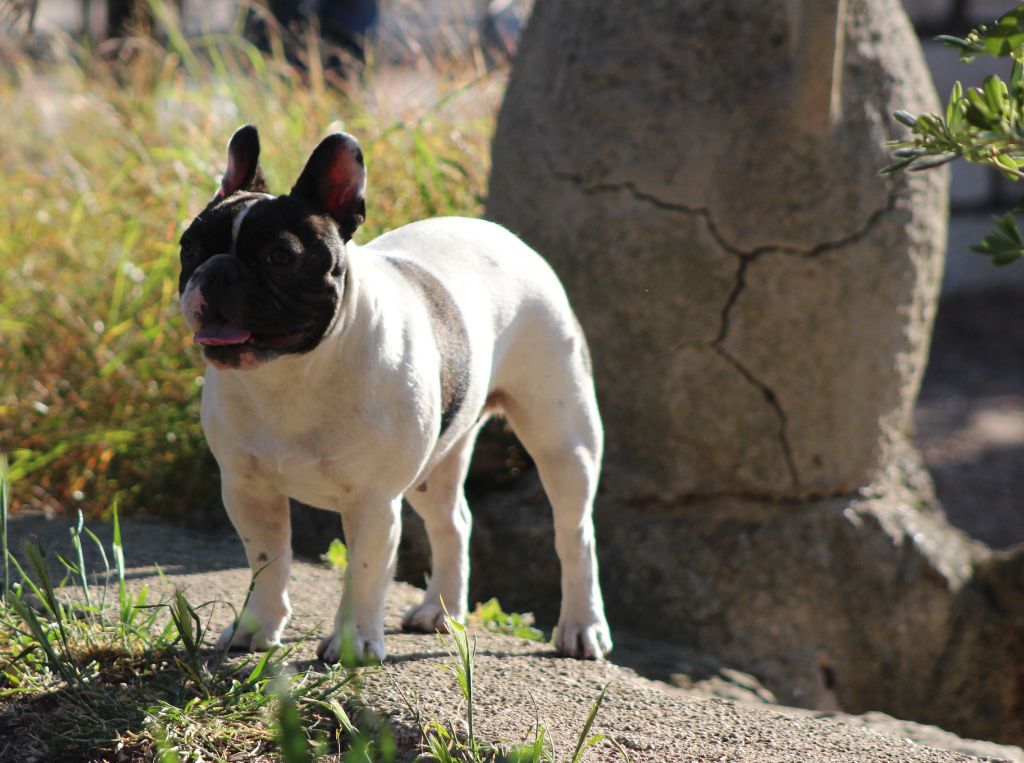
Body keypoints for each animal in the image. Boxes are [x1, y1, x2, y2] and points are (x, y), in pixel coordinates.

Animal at [178, 125, 612, 663]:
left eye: (281, 257)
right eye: (190, 248)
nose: (217, 269)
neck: (293, 371)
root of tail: (503, 235)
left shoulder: (372, 502)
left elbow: (364, 574)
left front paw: (353, 643)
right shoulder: (249, 489)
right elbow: (267, 561)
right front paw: (256, 627)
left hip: (562, 437)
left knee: (575, 533)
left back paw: (582, 627)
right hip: (436, 463)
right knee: (453, 522)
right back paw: (440, 612)